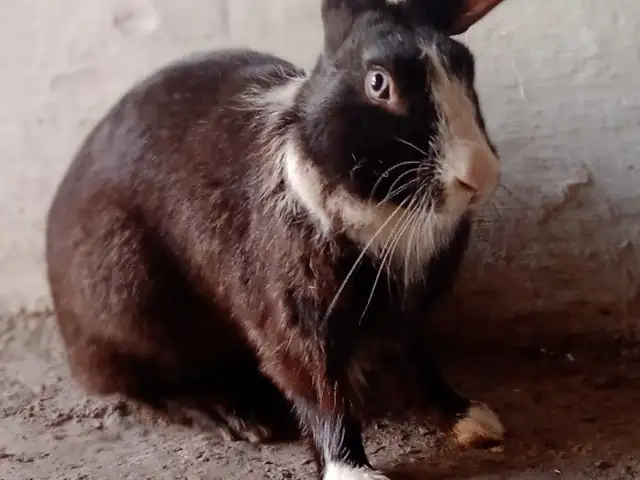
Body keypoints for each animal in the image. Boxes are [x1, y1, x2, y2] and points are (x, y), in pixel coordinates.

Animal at [45, 0, 507, 478]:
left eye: (466, 66)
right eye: (379, 83)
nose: (478, 175)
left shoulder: (406, 319)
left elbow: (418, 366)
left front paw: (470, 418)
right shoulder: (295, 320)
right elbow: (320, 393)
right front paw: (352, 469)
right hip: (132, 307)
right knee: (142, 387)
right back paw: (229, 415)